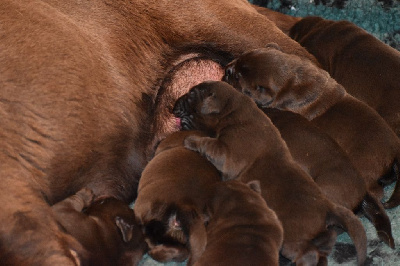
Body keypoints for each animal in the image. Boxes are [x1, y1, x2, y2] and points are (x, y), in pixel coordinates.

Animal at [173, 81, 368, 266]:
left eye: (191, 95)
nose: (173, 107)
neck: (234, 111)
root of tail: (328, 205)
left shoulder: (227, 153)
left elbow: (208, 142)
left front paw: (190, 139)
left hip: (291, 239)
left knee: (309, 254)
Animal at [225, 43, 400, 209]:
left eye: (238, 77)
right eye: (240, 56)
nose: (227, 69)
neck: (292, 78)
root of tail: (395, 147)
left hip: (365, 167)